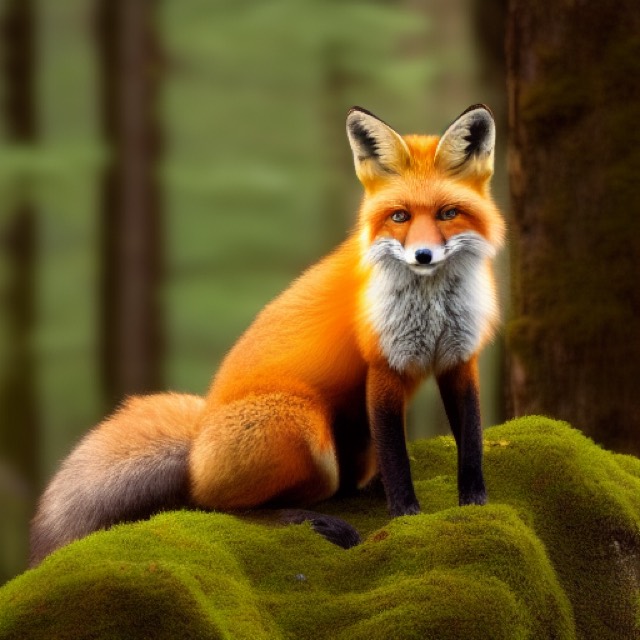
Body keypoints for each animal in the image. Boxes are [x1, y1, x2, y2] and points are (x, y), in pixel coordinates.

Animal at [29, 104, 505, 567]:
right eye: (399, 216)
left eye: (448, 213)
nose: (423, 255)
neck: (432, 307)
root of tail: (196, 441)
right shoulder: (383, 365)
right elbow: (397, 458)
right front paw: (406, 516)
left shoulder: (459, 358)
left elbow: (471, 437)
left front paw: (476, 504)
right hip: (304, 425)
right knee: (216, 507)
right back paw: (310, 520)